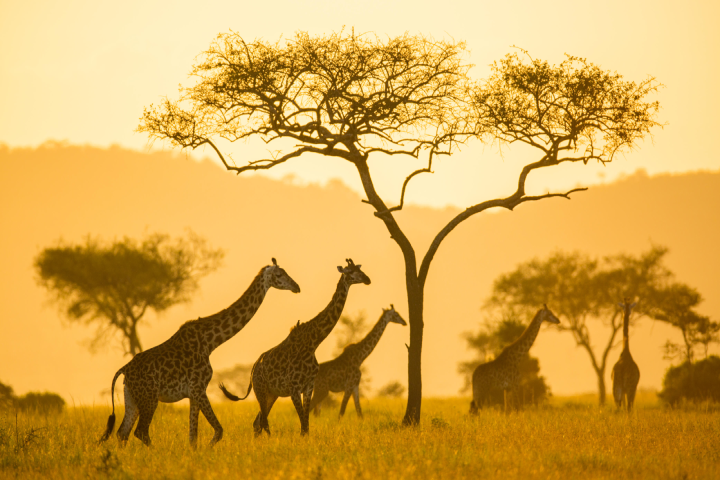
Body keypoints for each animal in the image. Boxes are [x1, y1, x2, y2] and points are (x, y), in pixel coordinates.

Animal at [97, 256, 300, 448]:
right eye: (279, 274)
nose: (296, 287)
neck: (210, 342)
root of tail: (124, 369)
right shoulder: (198, 388)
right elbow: (218, 430)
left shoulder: (193, 393)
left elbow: (193, 438)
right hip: (149, 398)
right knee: (140, 432)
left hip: (132, 397)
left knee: (122, 433)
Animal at [219, 258, 372, 436]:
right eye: (350, 272)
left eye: (360, 270)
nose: (367, 279)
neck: (313, 342)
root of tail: (253, 369)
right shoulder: (294, 388)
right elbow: (303, 426)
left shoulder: (308, 386)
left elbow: (306, 426)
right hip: (261, 391)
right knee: (263, 422)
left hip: (272, 394)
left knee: (258, 422)